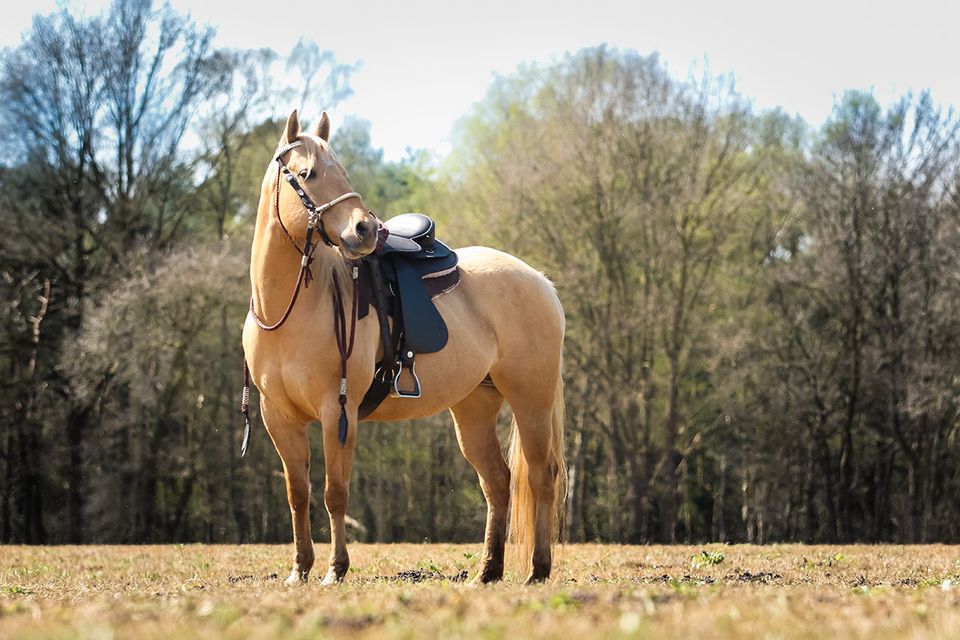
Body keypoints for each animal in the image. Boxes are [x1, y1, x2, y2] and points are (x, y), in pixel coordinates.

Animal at [244, 109, 568, 584]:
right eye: (307, 174)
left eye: (342, 171)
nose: (364, 229)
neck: (291, 307)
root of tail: (539, 280)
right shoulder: (279, 418)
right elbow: (297, 494)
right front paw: (299, 569)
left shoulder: (337, 413)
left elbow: (334, 494)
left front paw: (335, 570)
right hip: (474, 408)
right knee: (497, 481)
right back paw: (488, 571)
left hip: (532, 400)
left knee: (542, 476)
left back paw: (538, 570)